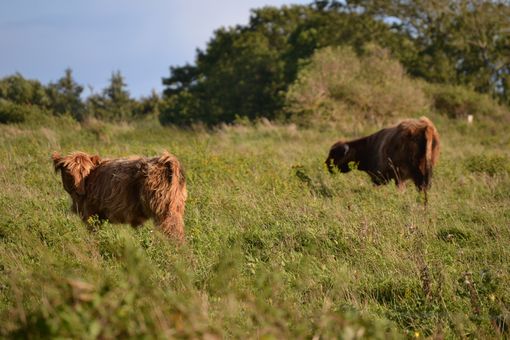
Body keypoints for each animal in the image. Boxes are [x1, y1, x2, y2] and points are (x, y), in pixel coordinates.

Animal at [52, 150, 187, 240]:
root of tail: (166, 161)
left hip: (163, 210)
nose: (79, 191)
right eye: (69, 172)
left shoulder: (91, 213)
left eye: (85, 171)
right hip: (176, 207)